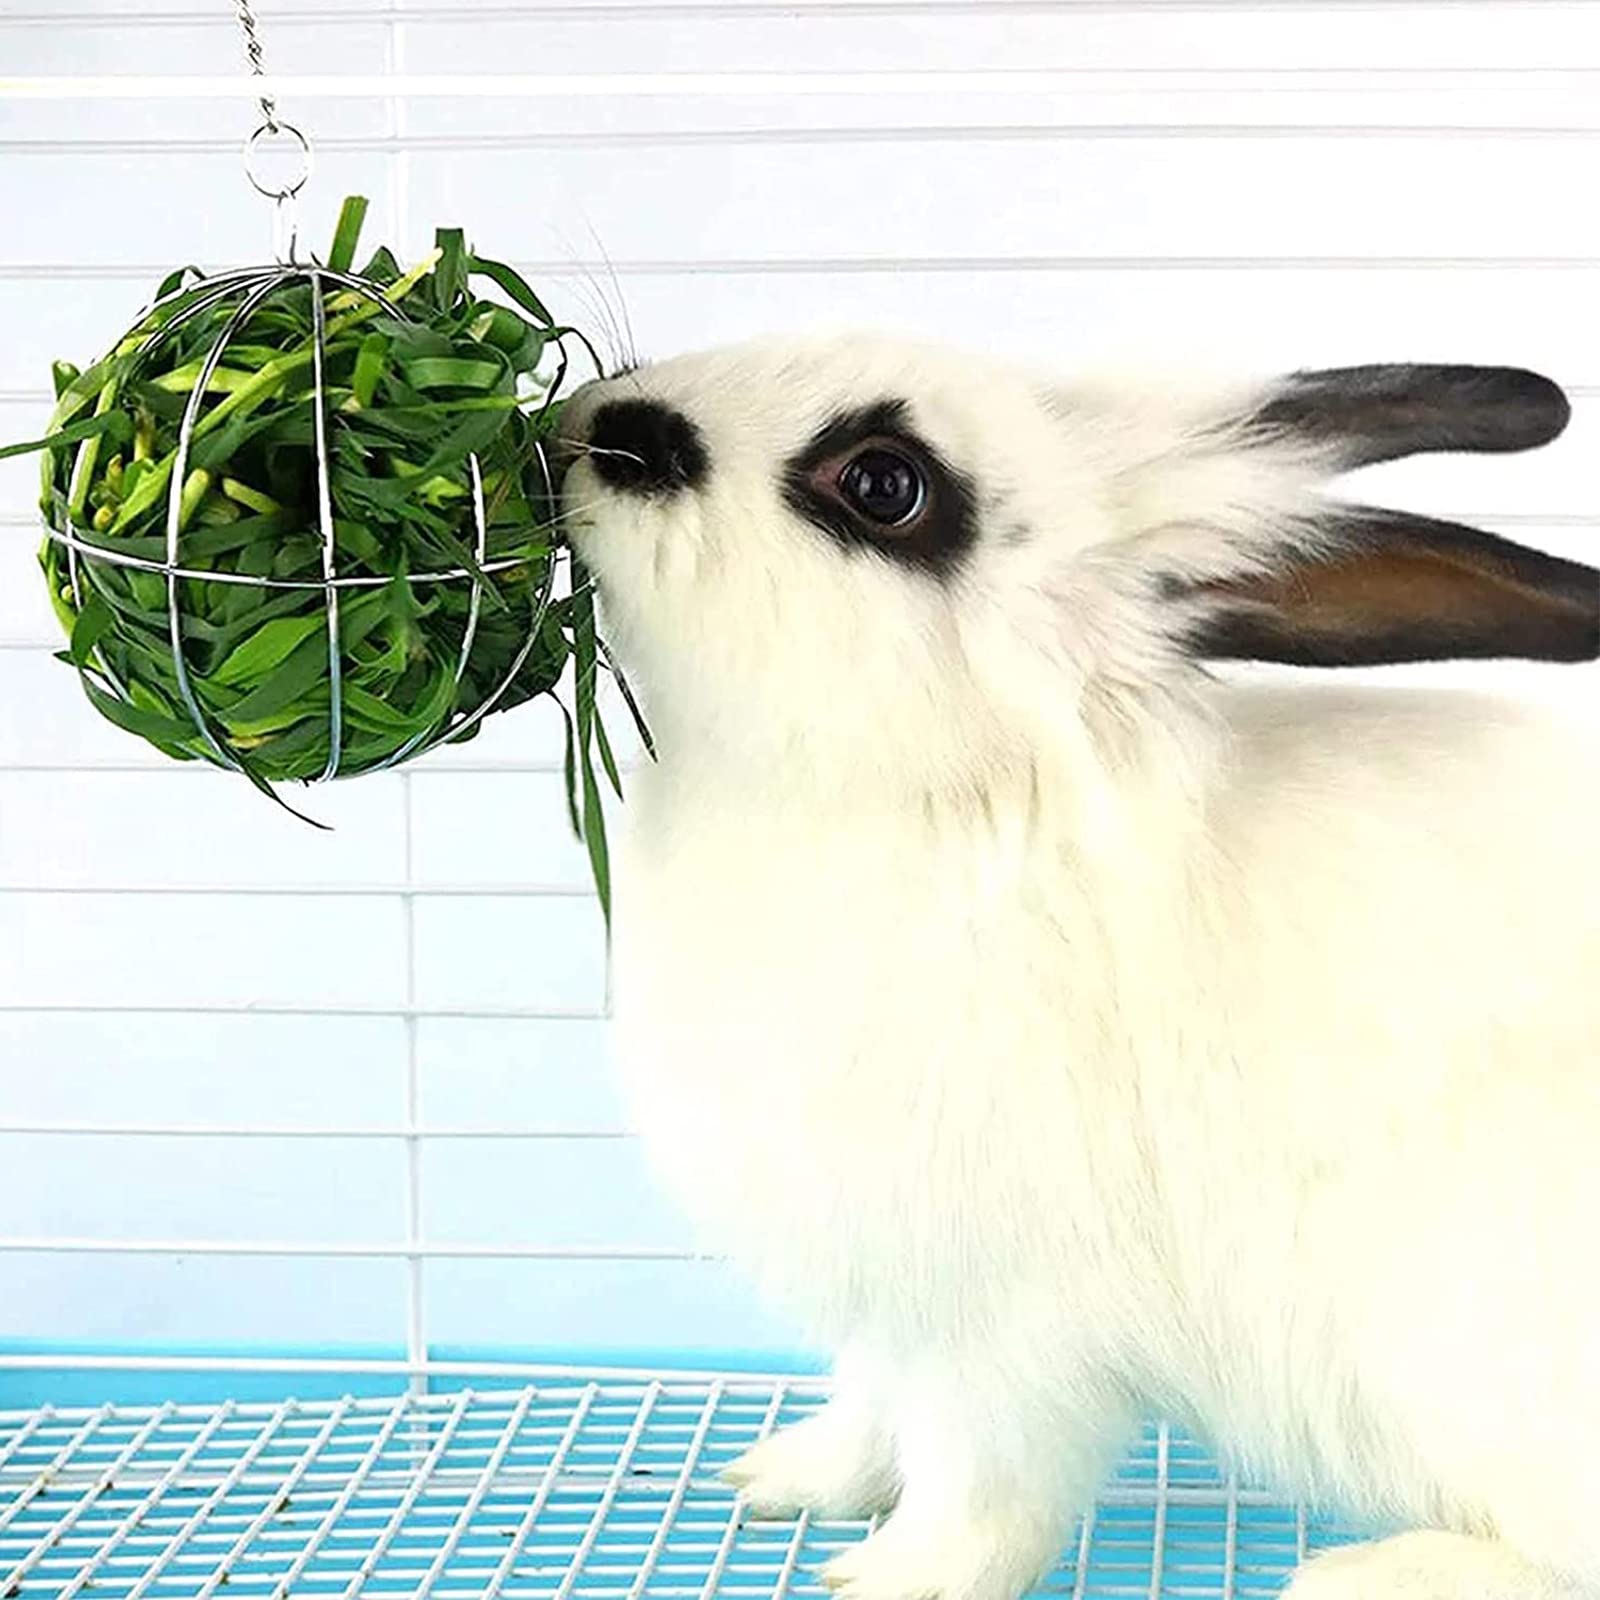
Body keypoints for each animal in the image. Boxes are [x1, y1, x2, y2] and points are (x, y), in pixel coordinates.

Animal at [556, 339, 1600, 1600]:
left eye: (885, 484)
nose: (605, 425)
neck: (953, 797)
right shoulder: (892, 1298)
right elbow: (869, 1403)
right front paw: (787, 1479)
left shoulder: (1005, 1327)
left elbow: (981, 1487)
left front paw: (892, 1576)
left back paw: (1368, 1573)